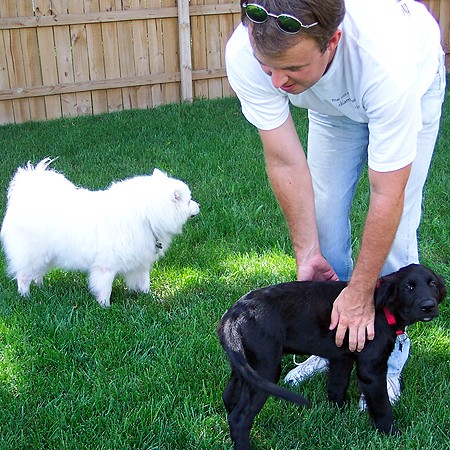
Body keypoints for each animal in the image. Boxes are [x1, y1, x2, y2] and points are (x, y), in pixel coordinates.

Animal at [0, 157, 200, 306]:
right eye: (189, 200)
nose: (199, 206)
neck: (146, 216)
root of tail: (25, 196)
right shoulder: (106, 266)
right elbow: (105, 288)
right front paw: (105, 306)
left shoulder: (139, 262)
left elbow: (144, 282)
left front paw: (149, 297)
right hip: (33, 254)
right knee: (23, 276)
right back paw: (25, 296)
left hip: (46, 256)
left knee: (37, 274)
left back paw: (41, 288)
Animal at [218, 264, 446, 450]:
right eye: (408, 287)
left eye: (432, 283)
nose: (428, 306)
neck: (383, 310)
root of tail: (233, 315)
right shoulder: (371, 370)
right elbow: (382, 407)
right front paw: (392, 434)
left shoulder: (341, 358)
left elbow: (337, 386)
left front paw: (338, 412)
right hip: (265, 368)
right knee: (239, 418)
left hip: (245, 364)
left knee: (229, 397)